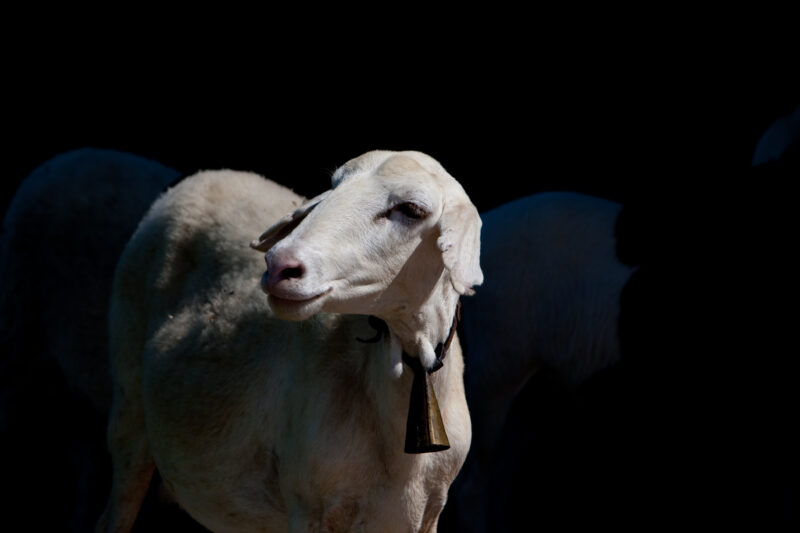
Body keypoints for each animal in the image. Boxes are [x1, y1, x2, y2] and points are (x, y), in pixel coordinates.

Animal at [98, 150, 482, 533]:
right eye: (334, 184)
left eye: (411, 209)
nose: (279, 266)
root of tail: (203, 175)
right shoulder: (309, 506)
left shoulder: (428, 513)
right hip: (128, 408)